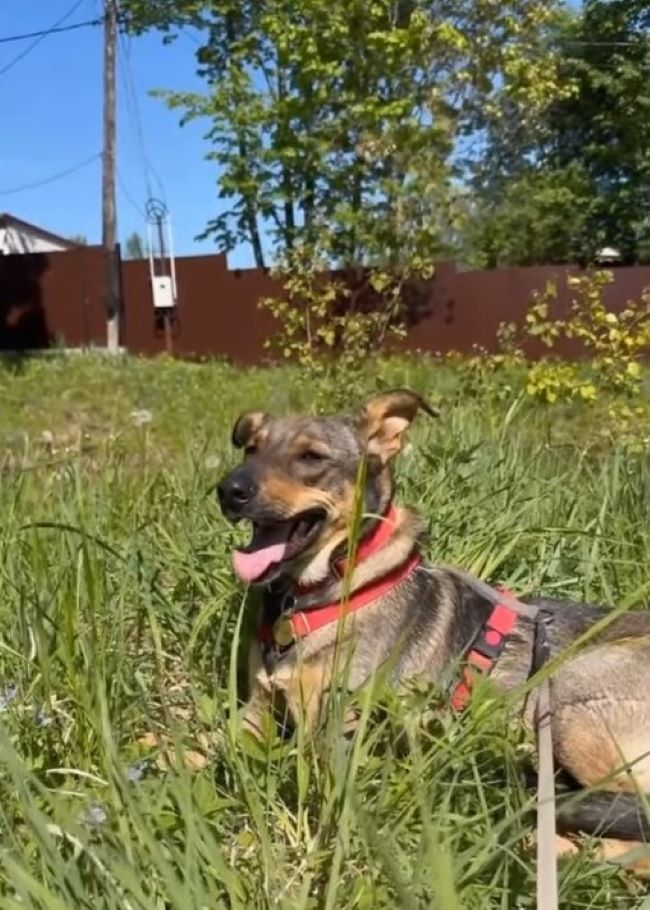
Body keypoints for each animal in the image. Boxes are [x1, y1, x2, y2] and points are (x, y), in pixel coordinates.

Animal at [218, 390, 648, 856]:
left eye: (311, 456)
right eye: (250, 448)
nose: (227, 490)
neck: (316, 596)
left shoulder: (334, 729)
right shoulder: (256, 708)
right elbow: (208, 746)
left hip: (571, 686)